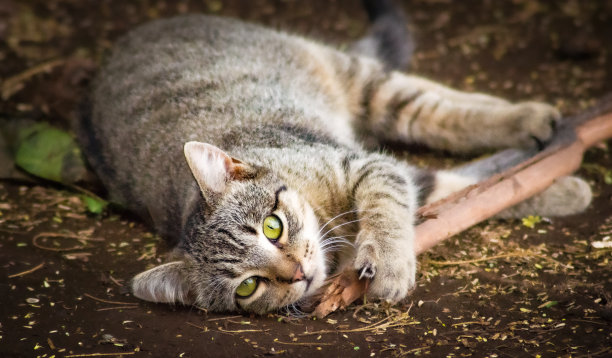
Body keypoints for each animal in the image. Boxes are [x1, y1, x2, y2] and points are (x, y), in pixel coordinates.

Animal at [74, 0, 592, 314]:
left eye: (273, 226)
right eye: (248, 286)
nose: (298, 273)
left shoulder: (364, 164)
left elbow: (407, 200)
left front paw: (390, 262)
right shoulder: (395, 173)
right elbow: (458, 187)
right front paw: (558, 187)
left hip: (363, 81)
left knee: (437, 107)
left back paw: (530, 118)